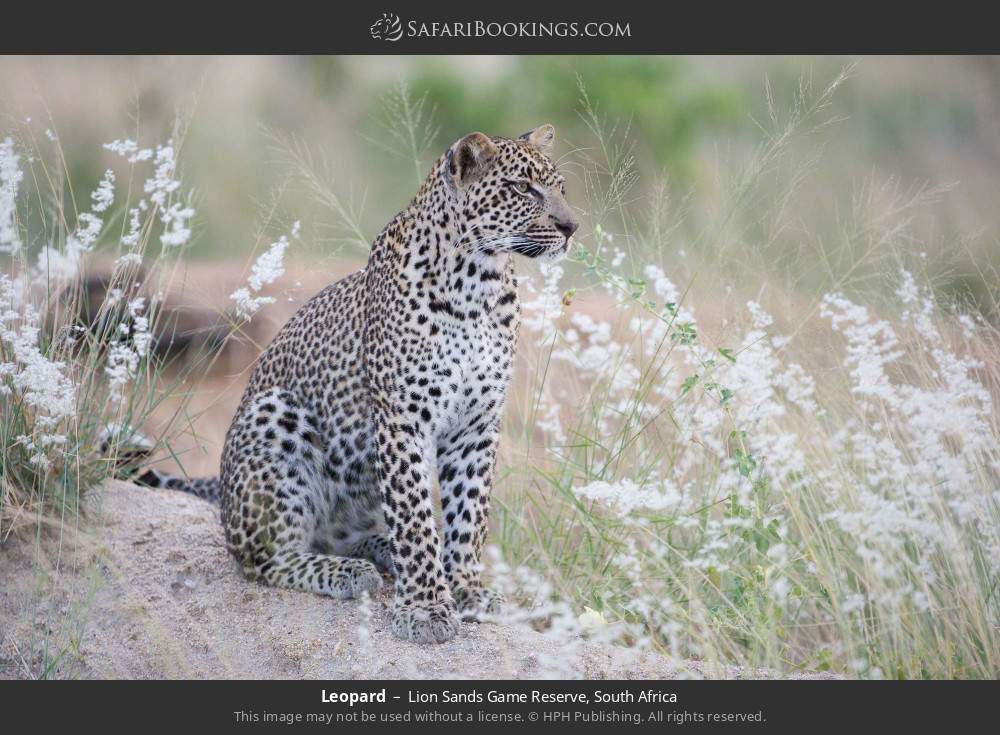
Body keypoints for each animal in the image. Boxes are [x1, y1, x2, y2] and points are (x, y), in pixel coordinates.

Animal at [128, 124, 578, 644]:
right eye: (523, 189)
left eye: (560, 187)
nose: (572, 227)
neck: (478, 284)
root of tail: (221, 494)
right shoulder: (404, 418)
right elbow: (417, 518)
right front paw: (426, 608)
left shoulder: (477, 423)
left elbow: (469, 514)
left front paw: (466, 589)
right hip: (276, 417)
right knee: (262, 560)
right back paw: (344, 573)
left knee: (344, 537)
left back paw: (380, 552)